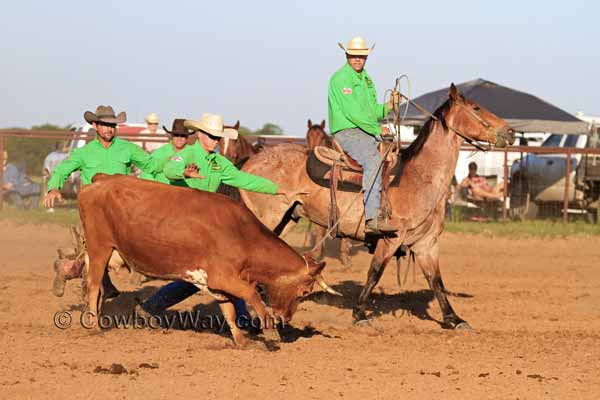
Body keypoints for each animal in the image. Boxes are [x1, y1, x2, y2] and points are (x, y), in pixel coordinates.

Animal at [78, 173, 328, 346]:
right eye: (305, 292)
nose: (286, 319)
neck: (240, 233)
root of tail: (101, 180)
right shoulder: (222, 277)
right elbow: (250, 293)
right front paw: (270, 330)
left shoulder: (218, 283)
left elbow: (229, 310)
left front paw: (241, 341)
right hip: (100, 247)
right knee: (92, 286)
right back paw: (94, 327)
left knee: (98, 287)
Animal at [237, 84, 512, 328]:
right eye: (476, 107)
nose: (509, 132)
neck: (419, 178)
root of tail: (250, 161)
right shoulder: (390, 239)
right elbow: (374, 273)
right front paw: (359, 314)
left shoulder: (427, 244)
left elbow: (436, 281)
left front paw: (454, 319)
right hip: (268, 217)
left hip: (287, 218)